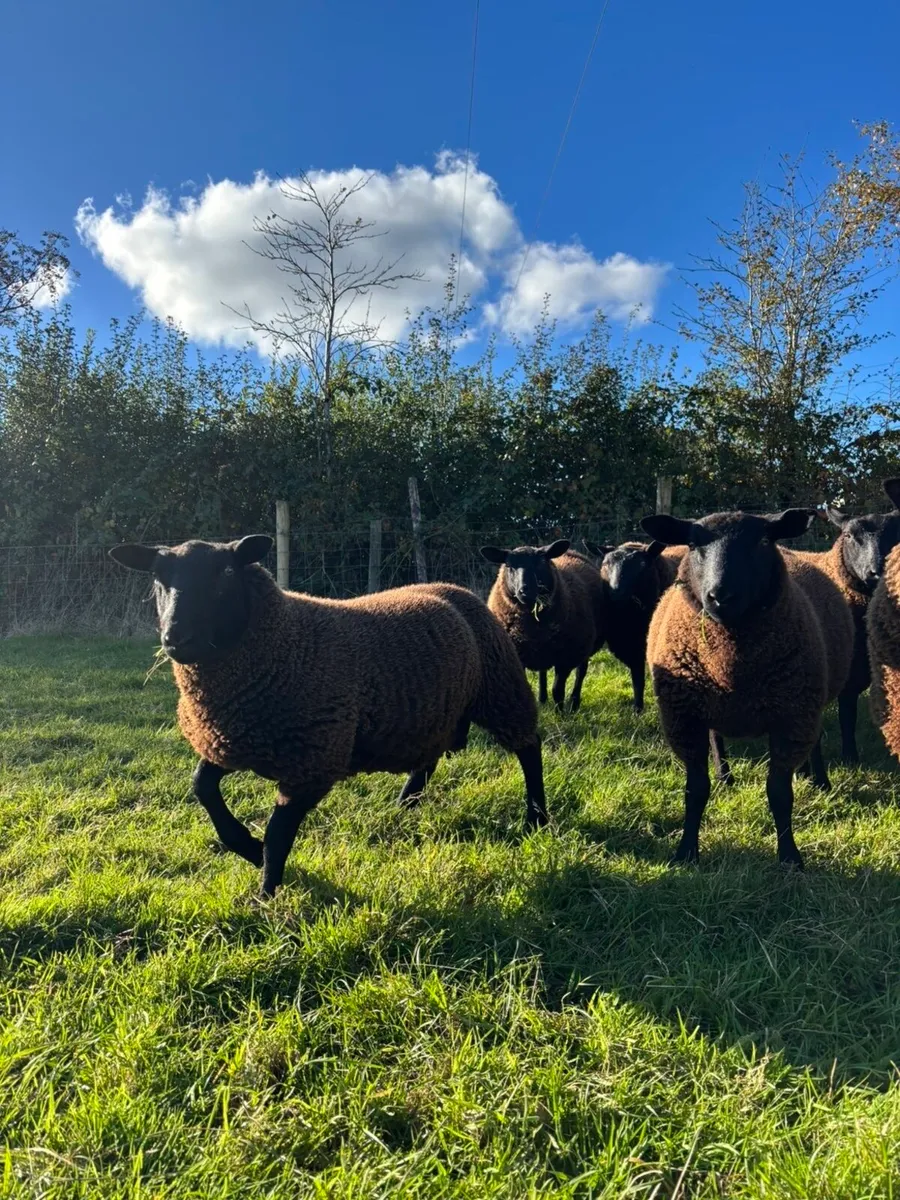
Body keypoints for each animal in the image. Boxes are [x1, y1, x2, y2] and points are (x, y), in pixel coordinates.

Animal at [109, 536, 548, 898]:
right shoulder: (233, 739)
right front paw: (247, 848)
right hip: (431, 713)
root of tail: (453, 588)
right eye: (157, 578)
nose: (176, 639)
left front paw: (265, 894)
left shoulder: (313, 760)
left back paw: (537, 819)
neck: (282, 642)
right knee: (428, 760)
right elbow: (202, 788)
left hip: (500, 687)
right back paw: (403, 806)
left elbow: (278, 834)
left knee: (529, 748)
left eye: (227, 573)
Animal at [480, 540, 606, 713]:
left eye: (540, 563)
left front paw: (560, 714)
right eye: (509, 565)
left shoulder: (566, 657)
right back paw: (542, 699)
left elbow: (557, 690)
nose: (525, 590)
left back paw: (574, 704)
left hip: (585, 645)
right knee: (543, 672)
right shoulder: (518, 655)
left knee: (581, 672)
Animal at [640, 509, 854, 869]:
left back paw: (818, 779)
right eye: (693, 544)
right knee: (717, 738)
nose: (721, 596)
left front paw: (790, 858)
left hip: (810, 701)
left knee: (815, 742)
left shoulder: (792, 717)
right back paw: (725, 776)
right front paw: (686, 853)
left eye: (764, 541)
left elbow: (780, 795)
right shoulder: (685, 720)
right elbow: (695, 791)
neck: (730, 664)